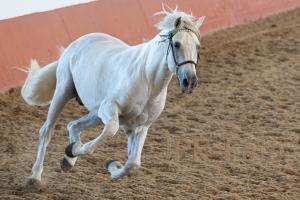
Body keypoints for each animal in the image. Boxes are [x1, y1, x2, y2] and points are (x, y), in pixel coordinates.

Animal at [22, 7, 205, 187]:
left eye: (197, 46)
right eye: (176, 44)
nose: (190, 81)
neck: (147, 80)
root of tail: (77, 42)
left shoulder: (139, 127)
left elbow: (133, 163)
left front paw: (112, 166)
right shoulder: (109, 109)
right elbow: (109, 131)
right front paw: (76, 150)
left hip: (95, 113)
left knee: (73, 125)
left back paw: (68, 160)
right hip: (63, 92)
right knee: (47, 131)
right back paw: (35, 176)